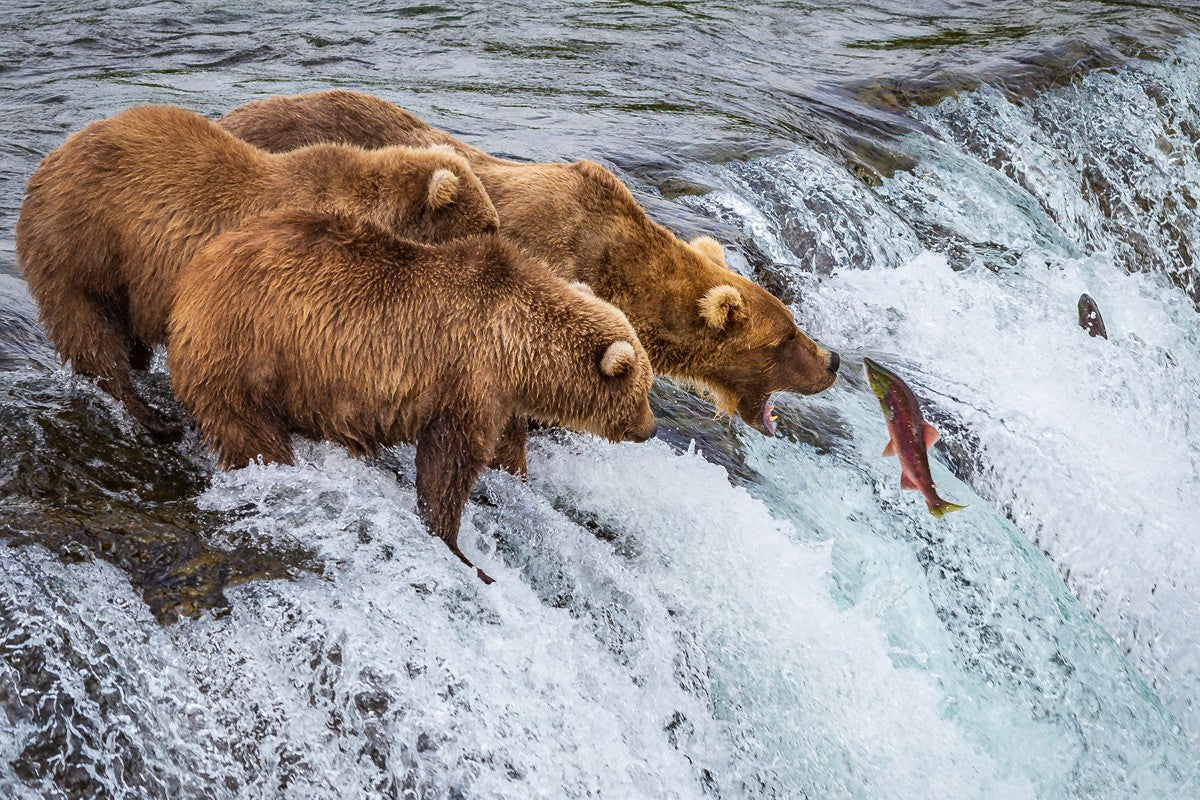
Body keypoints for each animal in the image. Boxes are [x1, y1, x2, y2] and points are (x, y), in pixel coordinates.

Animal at [16, 103, 500, 441]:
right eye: (489, 226)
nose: (503, 245)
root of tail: (47, 162)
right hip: (83, 244)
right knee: (89, 331)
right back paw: (153, 417)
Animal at [168, 207, 657, 583]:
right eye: (644, 390)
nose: (650, 429)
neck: (518, 346)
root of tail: (192, 277)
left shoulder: (499, 396)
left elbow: (504, 449)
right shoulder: (468, 377)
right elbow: (449, 463)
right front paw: (459, 548)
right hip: (247, 351)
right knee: (251, 432)